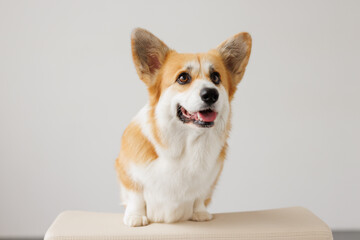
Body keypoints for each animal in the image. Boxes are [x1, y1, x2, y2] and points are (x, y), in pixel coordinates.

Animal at [115, 28, 250, 227]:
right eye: (183, 78)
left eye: (216, 77)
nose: (211, 94)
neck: (186, 142)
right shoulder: (126, 172)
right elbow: (135, 195)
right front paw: (136, 217)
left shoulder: (208, 182)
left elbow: (200, 196)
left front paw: (200, 213)